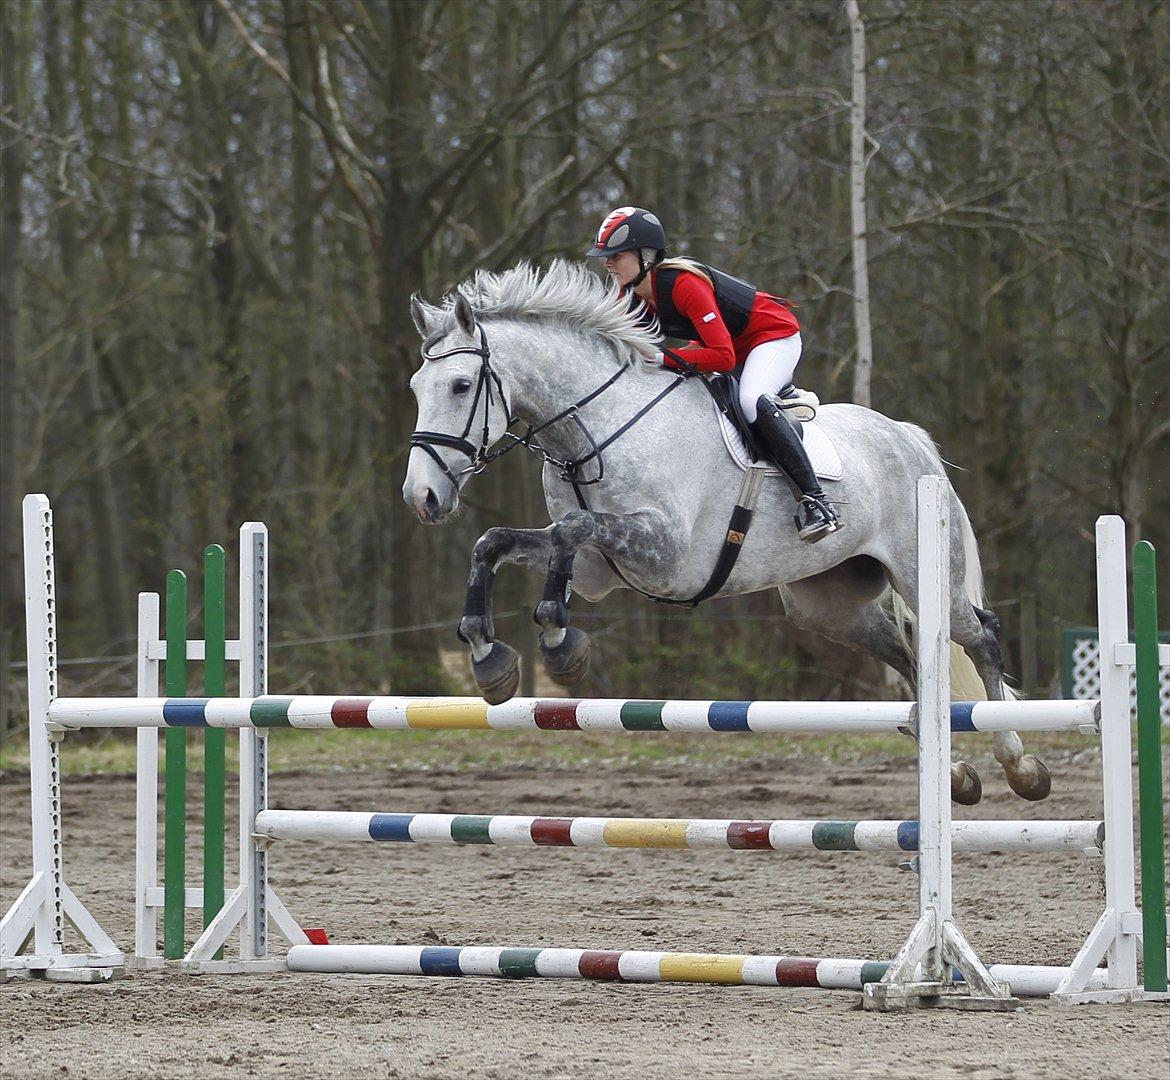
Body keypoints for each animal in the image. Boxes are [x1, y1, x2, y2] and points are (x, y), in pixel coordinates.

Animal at [400, 259, 1053, 800]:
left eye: (460, 386)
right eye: (415, 389)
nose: (421, 498)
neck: (596, 426)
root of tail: (909, 438)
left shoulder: (666, 557)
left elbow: (572, 528)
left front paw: (561, 647)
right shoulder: (595, 573)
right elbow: (500, 542)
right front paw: (489, 657)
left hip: (923, 578)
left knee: (981, 636)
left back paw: (1019, 766)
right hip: (827, 606)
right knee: (910, 658)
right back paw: (956, 774)